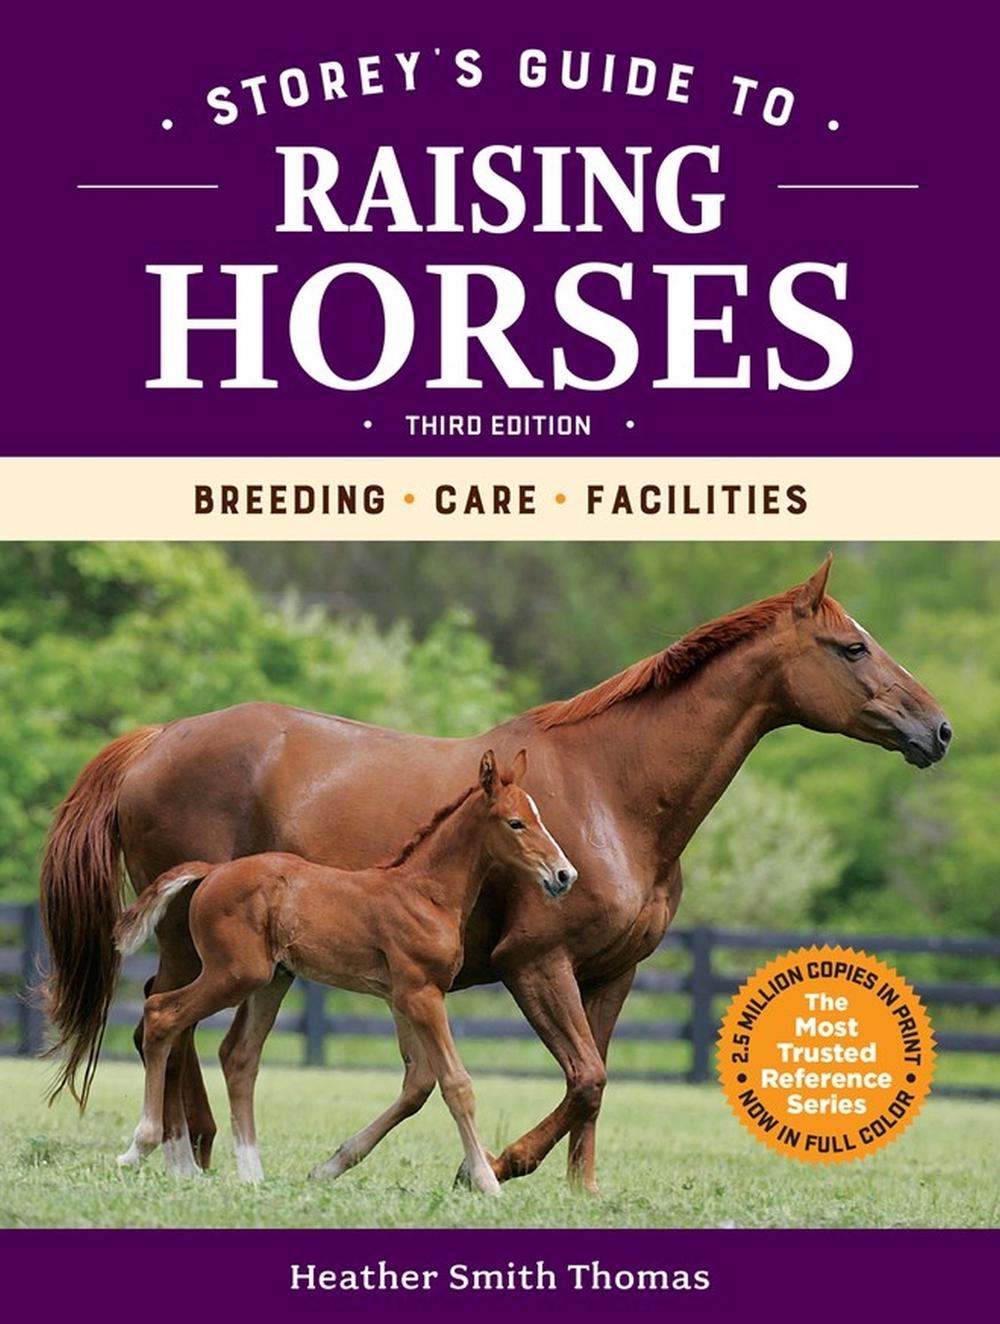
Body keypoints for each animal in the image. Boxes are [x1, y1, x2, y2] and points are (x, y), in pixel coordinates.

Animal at [112, 749, 575, 1191]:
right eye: (516, 823)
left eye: (539, 817)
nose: (564, 874)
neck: (425, 894)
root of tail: (213, 872)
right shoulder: (423, 994)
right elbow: (456, 1083)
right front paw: (485, 1181)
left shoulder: (399, 999)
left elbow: (419, 1079)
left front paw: (329, 1167)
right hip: (234, 973)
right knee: (161, 1013)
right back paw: (140, 1147)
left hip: (270, 981)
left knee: (238, 1055)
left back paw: (250, 1173)